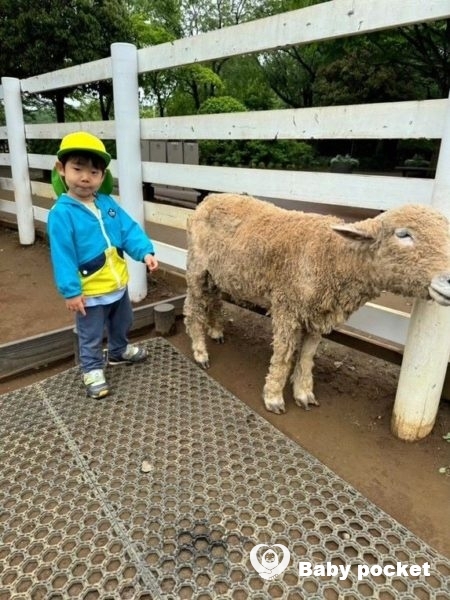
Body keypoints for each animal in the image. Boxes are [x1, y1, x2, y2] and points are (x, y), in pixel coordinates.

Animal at [183, 193, 450, 414]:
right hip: (197, 267)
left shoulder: (317, 315)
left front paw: (303, 394)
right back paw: (200, 350)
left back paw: (216, 330)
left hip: (217, 274)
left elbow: (307, 355)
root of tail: (208, 199)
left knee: (214, 299)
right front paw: (273, 397)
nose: (448, 279)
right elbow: (283, 356)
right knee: (192, 308)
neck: (333, 256)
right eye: (403, 234)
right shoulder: (287, 308)